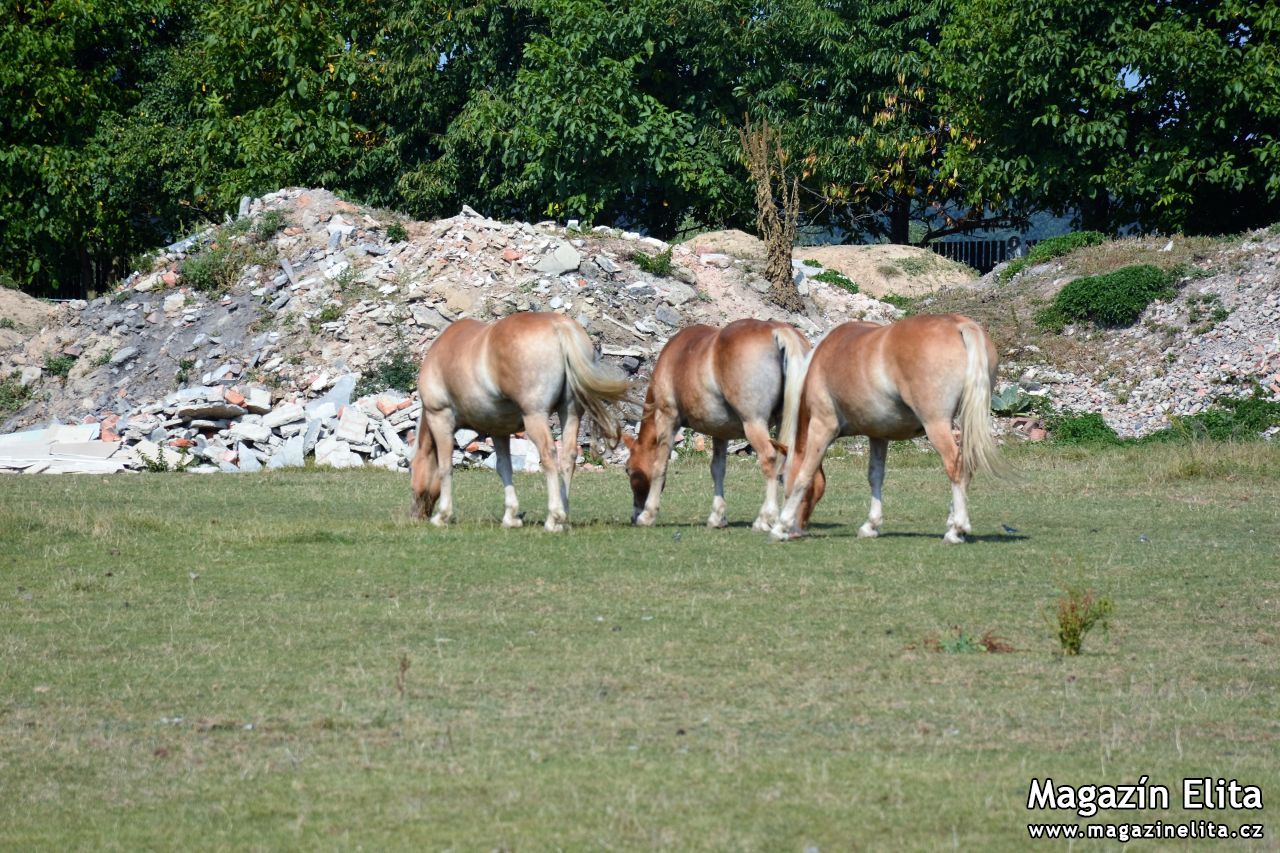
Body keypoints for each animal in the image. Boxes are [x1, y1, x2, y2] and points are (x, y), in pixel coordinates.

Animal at [412, 308, 627, 527]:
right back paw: (563, 518)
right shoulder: (498, 431)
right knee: (568, 457)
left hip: (535, 417)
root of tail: (559, 326)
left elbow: (445, 466)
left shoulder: (440, 419)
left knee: (549, 455)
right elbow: (503, 467)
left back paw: (553, 518)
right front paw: (511, 516)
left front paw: (442, 515)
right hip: (571, 413)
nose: (416, 515)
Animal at [624, 318, 814, 527]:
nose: (633, 516)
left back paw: (766, 517)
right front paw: (717, 516)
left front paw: (648, 514)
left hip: (754, 423)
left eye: (628, 470)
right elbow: (717, 469)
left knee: (769, 458)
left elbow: (660, 466)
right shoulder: (720, 432)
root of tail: (777, 330)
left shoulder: (667, 418)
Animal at [762, 313, 1003, 545]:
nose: (797, 531)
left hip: (937, 425)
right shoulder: (878, 435)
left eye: (782, 477)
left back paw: (956, 529)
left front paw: (780, 526)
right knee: (966, 465)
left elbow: (804, 474)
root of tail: (958, 324)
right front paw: (871, 525)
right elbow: (875, 475)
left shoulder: (822, 427)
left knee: (955, 465)